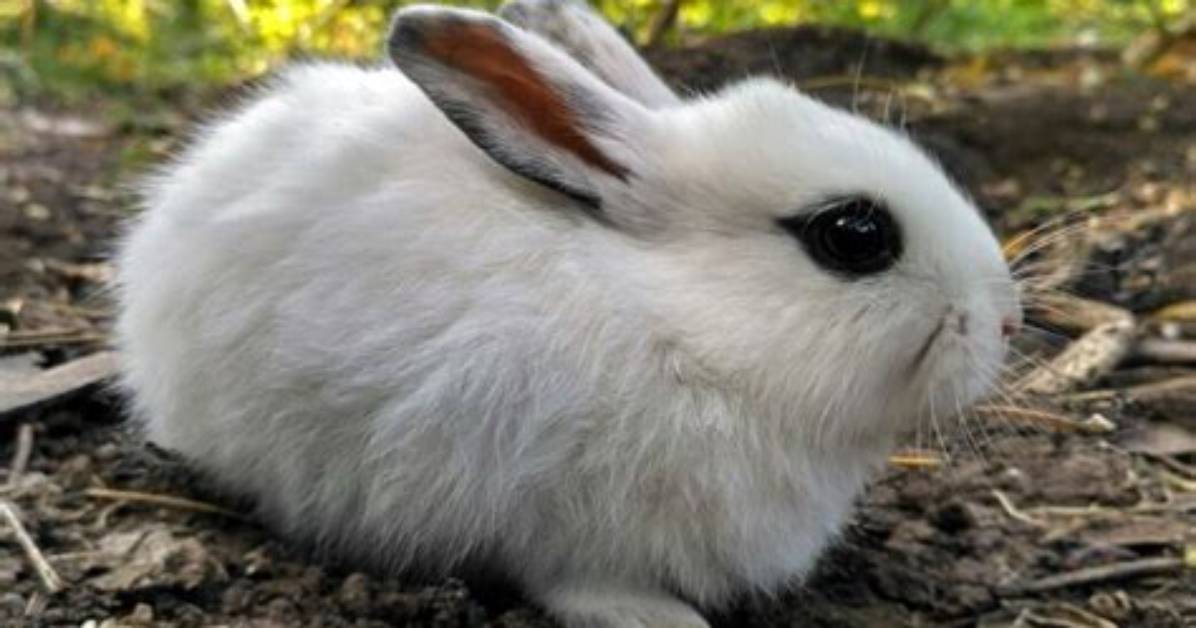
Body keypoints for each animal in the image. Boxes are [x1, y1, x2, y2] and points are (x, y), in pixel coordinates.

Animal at [115, 1, 1022, 626]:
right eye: (854, 235)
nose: (1007, 319)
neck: (681, 330)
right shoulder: (557, 525)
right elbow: (582, 584)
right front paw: (665, 619)